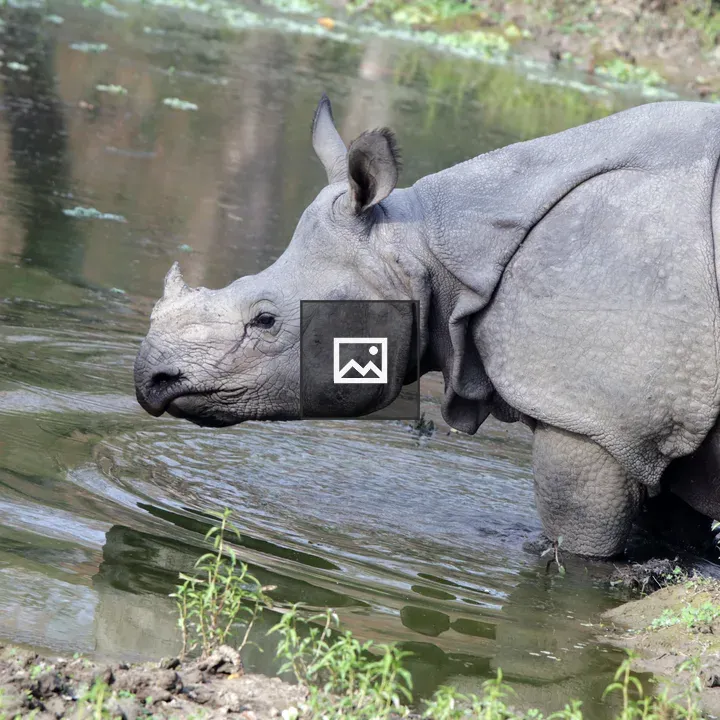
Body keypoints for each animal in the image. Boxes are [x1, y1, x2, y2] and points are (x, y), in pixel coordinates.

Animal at [134, 95, 720, 558]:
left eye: (265, 320)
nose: (149, 381)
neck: (428, 246)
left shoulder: (595, 420)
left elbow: (581, 542)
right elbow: (671, 534)